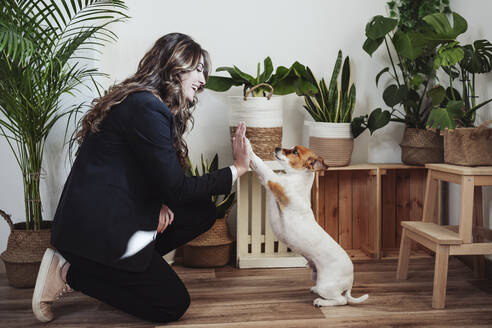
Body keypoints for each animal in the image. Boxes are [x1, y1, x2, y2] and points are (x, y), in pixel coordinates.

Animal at [246, 142, 368, 308]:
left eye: (294, 152)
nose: (277, 148)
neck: (296, 178)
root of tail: (350, 281)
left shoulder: (273, 181)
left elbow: (261, 165)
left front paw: (247, 145)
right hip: (315, 275)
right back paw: (315, 290)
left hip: (326, 285)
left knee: (341, 300)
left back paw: (320, 302)